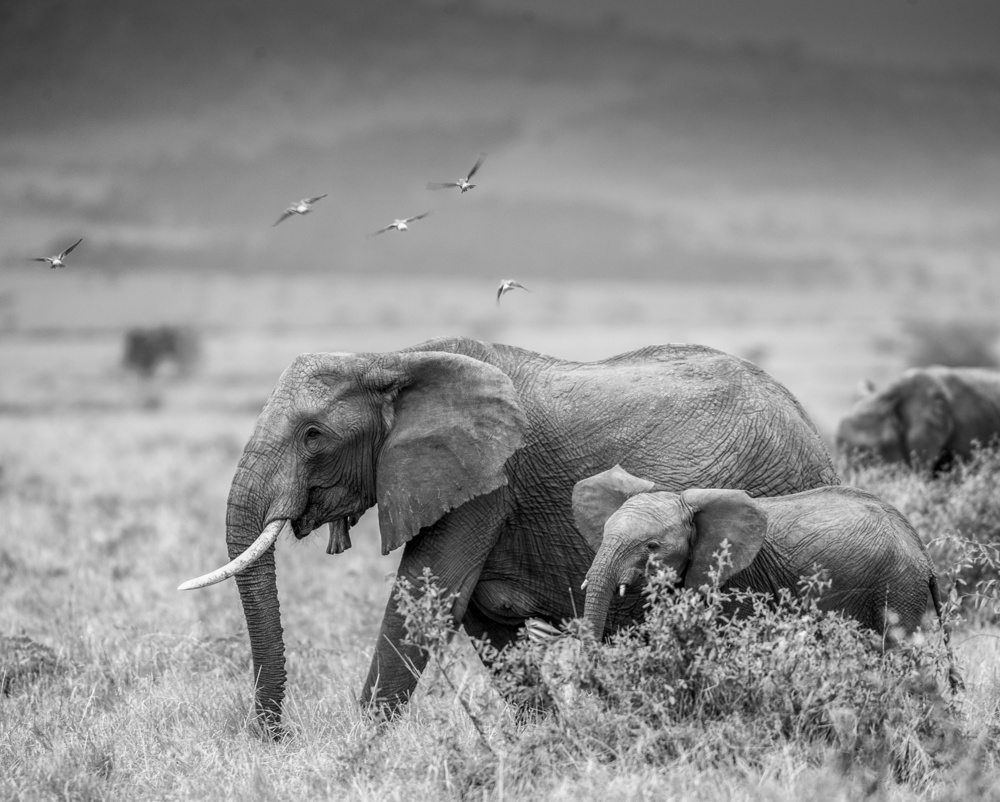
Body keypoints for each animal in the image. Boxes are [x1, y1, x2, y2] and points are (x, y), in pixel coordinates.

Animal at [180, 332, 836, 732]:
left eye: (313, 436)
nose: (272, 738)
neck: (392, 359)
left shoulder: (487, 480)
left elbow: (427, 596)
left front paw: (357, 750)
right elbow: (483, 618)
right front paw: (549, 744)